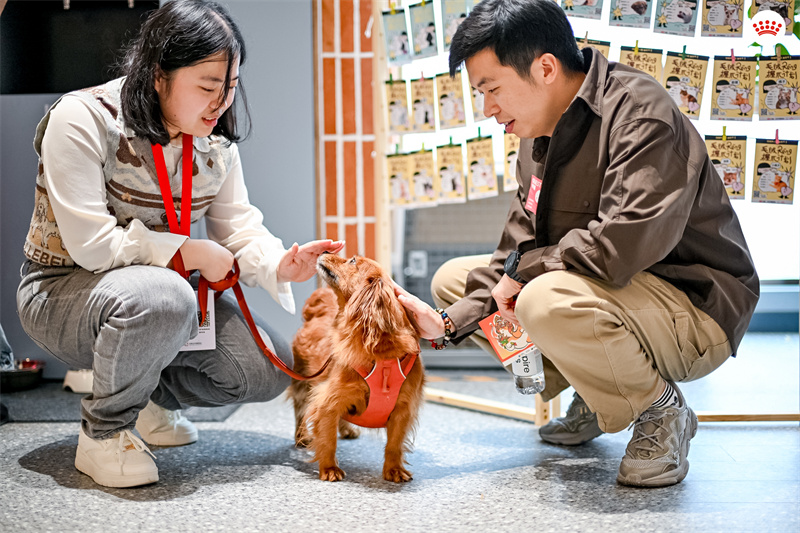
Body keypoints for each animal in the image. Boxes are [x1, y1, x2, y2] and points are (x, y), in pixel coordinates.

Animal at [288, 252, 424, 482]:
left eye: (352, 261)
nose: (324, 252)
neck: (380, 354)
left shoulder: (403, 410)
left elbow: (394, 445)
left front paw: (394, 469)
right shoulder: (326, 400)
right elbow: (328, 440)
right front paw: (329, 468)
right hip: (302, 383)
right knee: (299, 412)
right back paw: (302, 436)